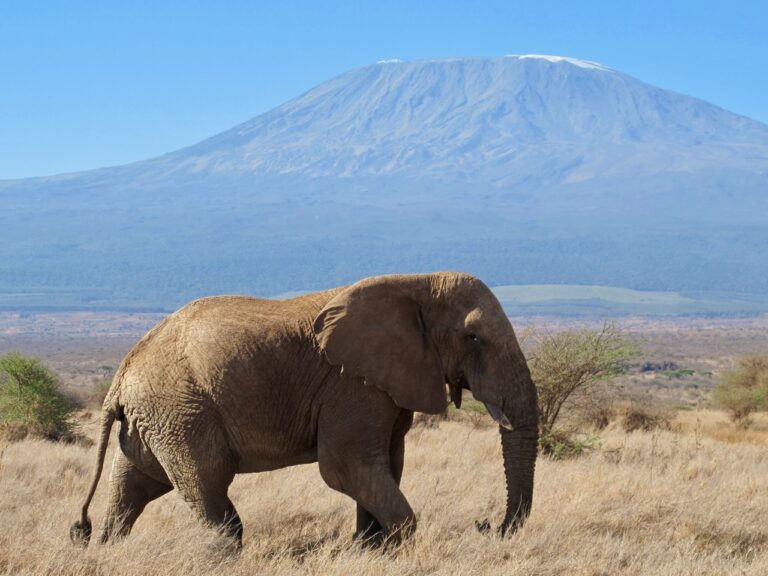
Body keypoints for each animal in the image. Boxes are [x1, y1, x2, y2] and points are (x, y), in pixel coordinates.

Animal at [70, 272, 538, 547]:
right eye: (473, 337)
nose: (487, 525)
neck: (418, 282)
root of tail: (123, 371)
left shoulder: (383, 381)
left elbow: (387, 464)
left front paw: (369, 551)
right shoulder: (350, 384)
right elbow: (346, 467)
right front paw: (394, 546)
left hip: (155, 416)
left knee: (134, 482)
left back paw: (107, 550)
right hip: (181, 410)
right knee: (207, 481)